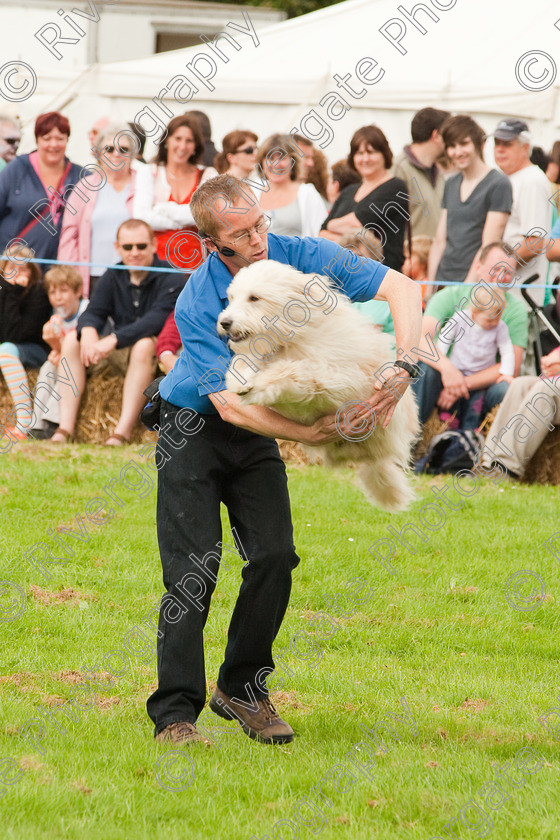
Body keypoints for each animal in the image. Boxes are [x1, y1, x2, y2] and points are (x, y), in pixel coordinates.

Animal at [217, 260, 418, 512]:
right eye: (231, 297)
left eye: (254, 298)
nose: (225, 322)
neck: (290, 340)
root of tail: (374, 456)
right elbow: (245, 362)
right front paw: (241, 379)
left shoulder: (335, 377)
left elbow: (293, 372)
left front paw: (259, 383)